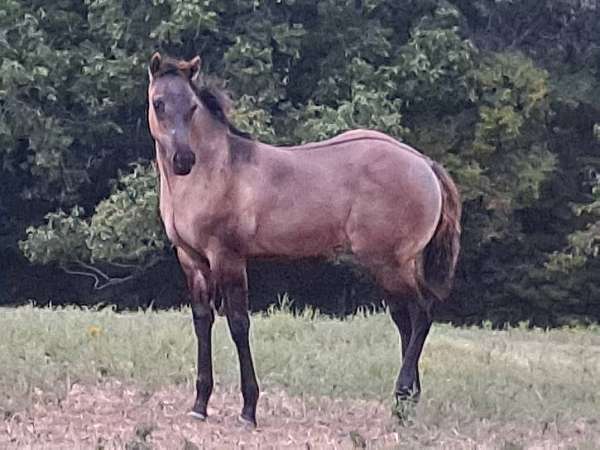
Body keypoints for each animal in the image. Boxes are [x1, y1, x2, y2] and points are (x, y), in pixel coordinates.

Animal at [148, 52, 462, 426]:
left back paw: (401, 397)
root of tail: (424, 162)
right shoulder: (191, 259)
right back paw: (407, 403)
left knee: (422, 313)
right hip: (396, 264)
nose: (183, 160)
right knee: (407, 321)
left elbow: (239, 324)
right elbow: (202, 322)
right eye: (158, 103)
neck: (216, 170)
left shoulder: (228, 256)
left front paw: (249, 409)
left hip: (389, 264)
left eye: (193, 106)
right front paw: (199, 404)